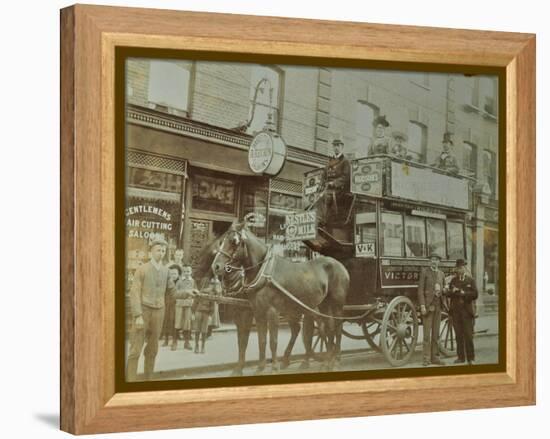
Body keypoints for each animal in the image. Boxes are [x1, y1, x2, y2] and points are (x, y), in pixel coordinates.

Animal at [211, 220, 350, 374]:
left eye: (234, 241)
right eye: (221, 241)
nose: (216, 266)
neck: (264, 272)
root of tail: (340, 265)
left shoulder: (271, 311)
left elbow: (273, 341)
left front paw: (274, 368)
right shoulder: (258, 312)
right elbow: (261, 340)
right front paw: (260, 367)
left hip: (335, 305)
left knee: (335, 329)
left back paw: (335, 361)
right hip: (320, 305)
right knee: (327, 328)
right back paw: (326, 362)